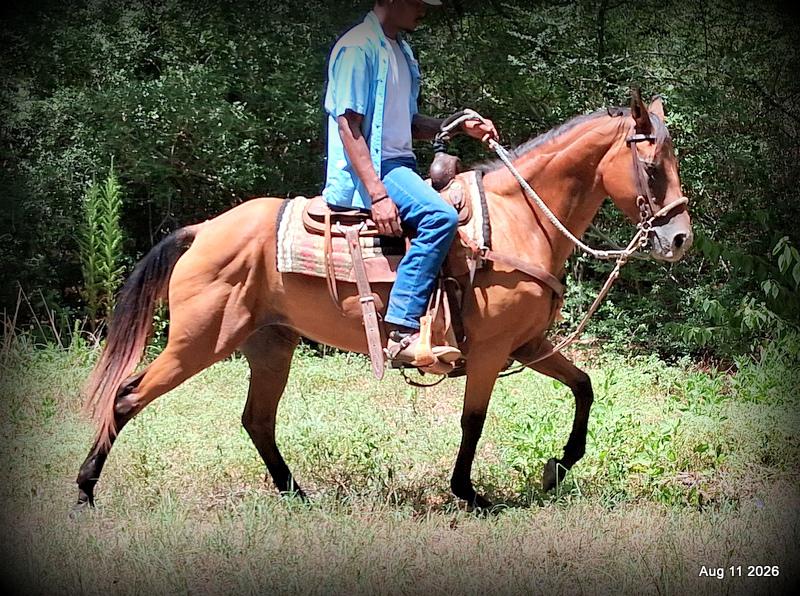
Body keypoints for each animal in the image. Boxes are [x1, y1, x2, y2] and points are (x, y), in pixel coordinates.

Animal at [74, 91, 692, 511]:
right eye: (652, 165)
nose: (680, 238)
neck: (520, 217)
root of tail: (204, 229)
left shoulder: (529, 343)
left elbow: (584, 387)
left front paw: (556, 469)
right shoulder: (491, 350)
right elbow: (473, 420)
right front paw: (469, 493)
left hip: (269, 345)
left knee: (257, 420)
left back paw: (298, 494)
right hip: (198, 341)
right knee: (127, 398)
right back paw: (85, 491)